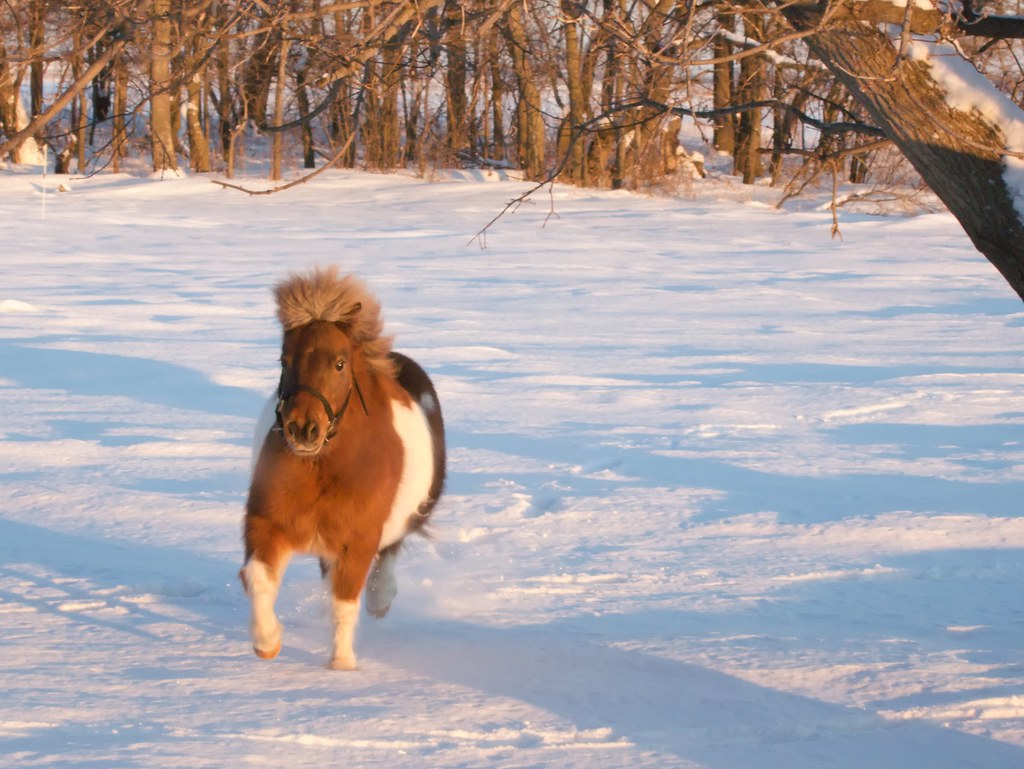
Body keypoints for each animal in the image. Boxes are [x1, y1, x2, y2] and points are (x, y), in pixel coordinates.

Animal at [240, 268, 445, 669]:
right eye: (283, 360)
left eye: (339, 363)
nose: (303, 429)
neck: (324, 466)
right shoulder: (267, 523)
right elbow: (258, 577)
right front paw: (267, 643)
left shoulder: (359, 539)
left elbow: (345, 602)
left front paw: (342, 665)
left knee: (390, 551)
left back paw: (380, 600)